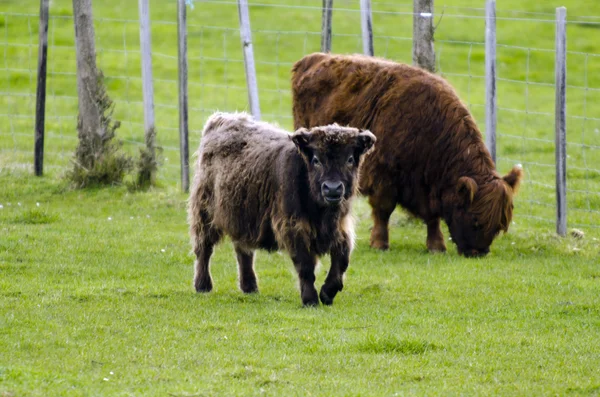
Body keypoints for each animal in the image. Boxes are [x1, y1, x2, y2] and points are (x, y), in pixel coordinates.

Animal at [188, 113, 376, 304]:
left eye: (350, 159)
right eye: (316, 160)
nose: (332, 189)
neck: (322, 213)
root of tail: (222, 118)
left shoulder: (341, 227)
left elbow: (342, 260)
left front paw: (327, 293)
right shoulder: (293, 226)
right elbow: (305, 264)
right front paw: (310, 299)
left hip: (242, 217)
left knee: (243, 251)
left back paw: (250, 287)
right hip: (204, 211)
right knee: (204, 248)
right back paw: (203, 285)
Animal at [292, 52, 524, 256]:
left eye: (498, 226)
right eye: (475, 220)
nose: (479, 253)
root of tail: (314, 58)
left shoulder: (428, 187)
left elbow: (433, 217)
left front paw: (436, 246)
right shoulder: (383, 176)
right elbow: (383, 210)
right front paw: (379, 243)